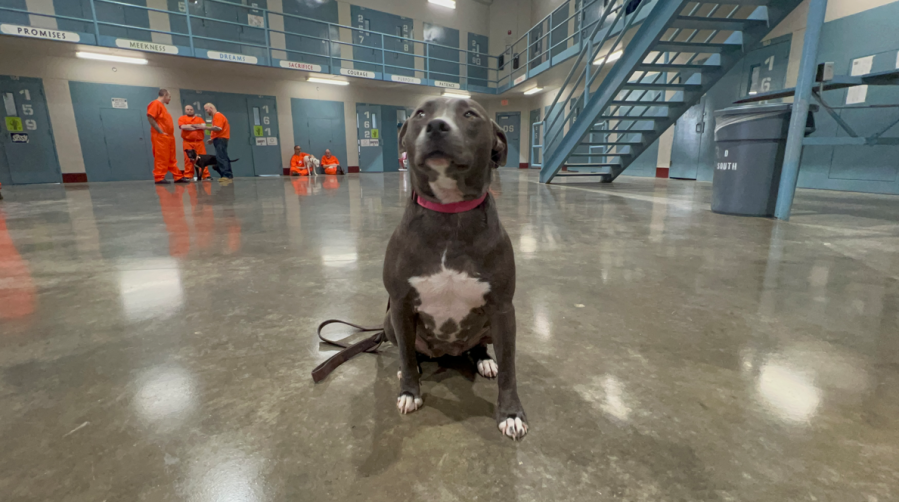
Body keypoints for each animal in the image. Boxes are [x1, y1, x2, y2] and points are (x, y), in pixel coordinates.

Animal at [382, 97, 528, 440]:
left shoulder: (503, 308)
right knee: (411, 352)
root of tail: (447, 352)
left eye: (470, 114)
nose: (437, 126)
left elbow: (510, 367)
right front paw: (410, 392)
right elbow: (406, 353)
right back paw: (413, 367)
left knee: (480, 348)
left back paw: (484, 360)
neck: (450, 212)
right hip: (388, 321)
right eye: (420, 113)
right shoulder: (400, 303)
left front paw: (511, 413)